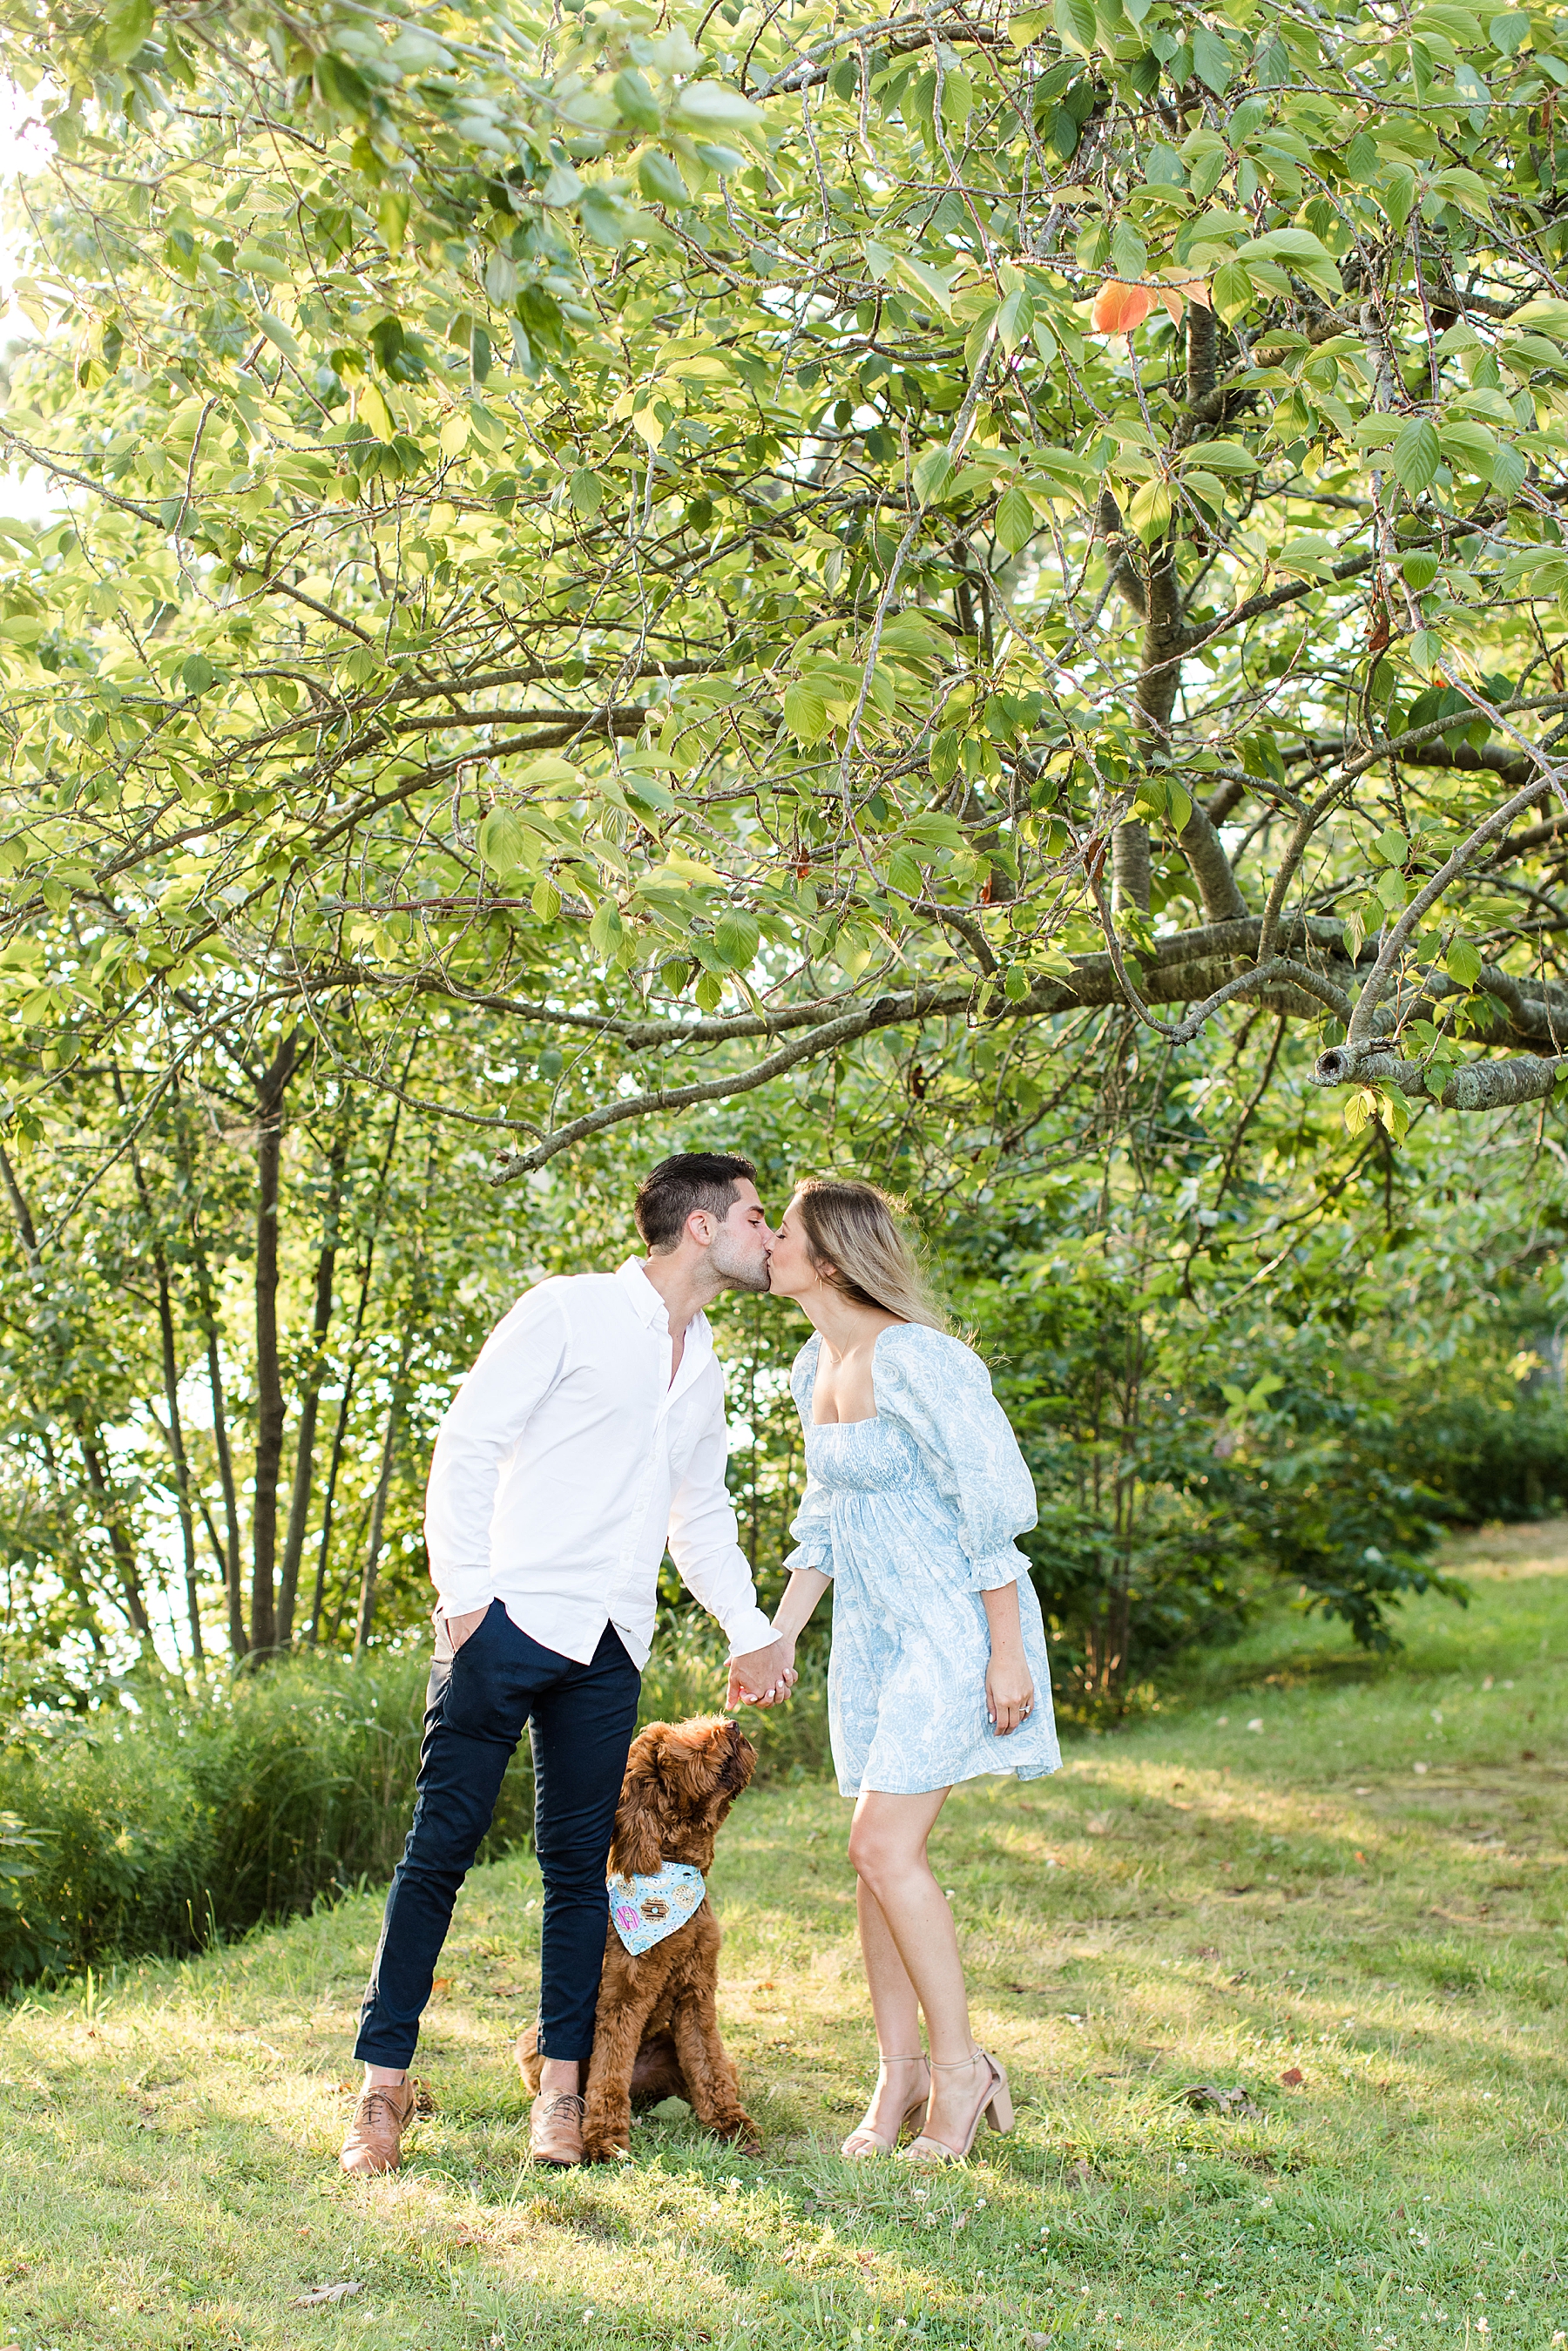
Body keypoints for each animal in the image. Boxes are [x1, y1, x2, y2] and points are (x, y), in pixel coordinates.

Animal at [517, 1711, 761, 2163]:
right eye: (687, 1744)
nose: (733, 1724)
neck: (669, 1873)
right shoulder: (621, 1999)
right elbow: (608, 2073)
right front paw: (604, 2140)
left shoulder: (697, 1996)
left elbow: (709, 2064)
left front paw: (730, 2122)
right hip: (531, 2044)